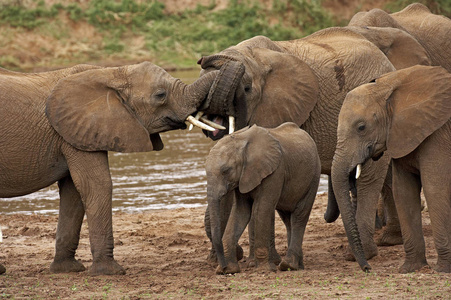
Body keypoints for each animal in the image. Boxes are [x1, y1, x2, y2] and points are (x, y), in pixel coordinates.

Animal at [0, 59, 245, 276]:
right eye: (160, 95)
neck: (110, 72)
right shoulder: (78, 129)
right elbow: (96, 185)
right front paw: (110, 272)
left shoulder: (76, 134)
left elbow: (73, 192)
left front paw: (67, 270)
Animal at [207, 122, 324, 274]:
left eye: (226, 171)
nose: (222, 267)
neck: (241, 140)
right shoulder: (243, 177)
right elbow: (241, 212)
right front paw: (230, 270)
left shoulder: (275, 171)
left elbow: (262, 209)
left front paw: (263, 269)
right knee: (288, 220)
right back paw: (298, 266)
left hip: (313, 176)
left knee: (299, 216)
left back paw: (288, 265)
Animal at [336, 65, 451, 272]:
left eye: (361, 127)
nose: (367, 268)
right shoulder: (401, 135)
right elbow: (403, 192)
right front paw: (409, 269)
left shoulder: (437, 135)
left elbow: (435, 189)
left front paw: (443, 269)